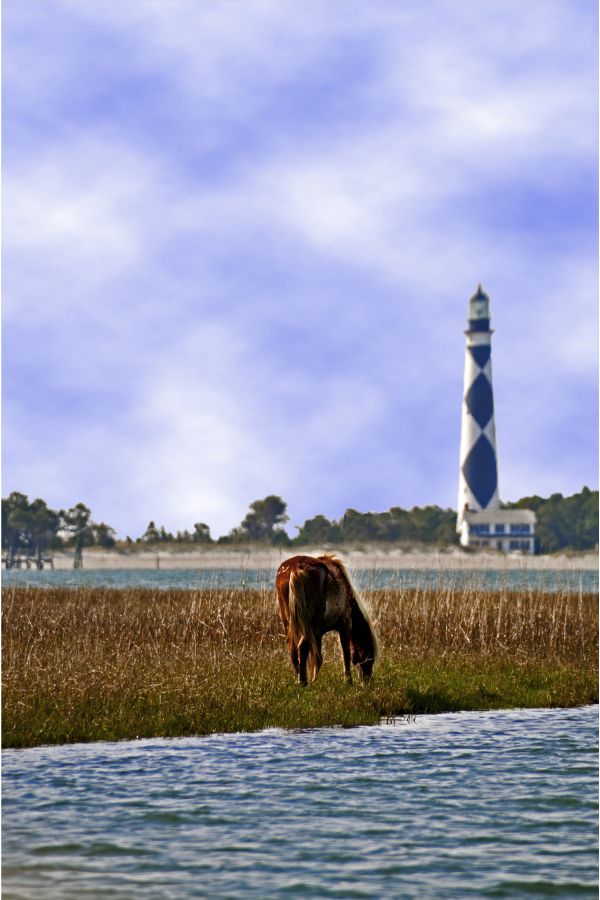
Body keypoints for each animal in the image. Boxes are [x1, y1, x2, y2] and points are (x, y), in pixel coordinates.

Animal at [276, 552, 378, 684]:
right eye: (369, 657)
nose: (367, 682)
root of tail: (295, 569)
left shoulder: (318, 634)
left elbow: (318, 658)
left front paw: (315, 680)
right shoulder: (345, 626)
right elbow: (346, 654)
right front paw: (348, 681)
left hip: (289, 624)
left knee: (293, 651)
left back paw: (299, 679)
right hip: (310, 625)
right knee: (302, 647)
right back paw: (303, 682)